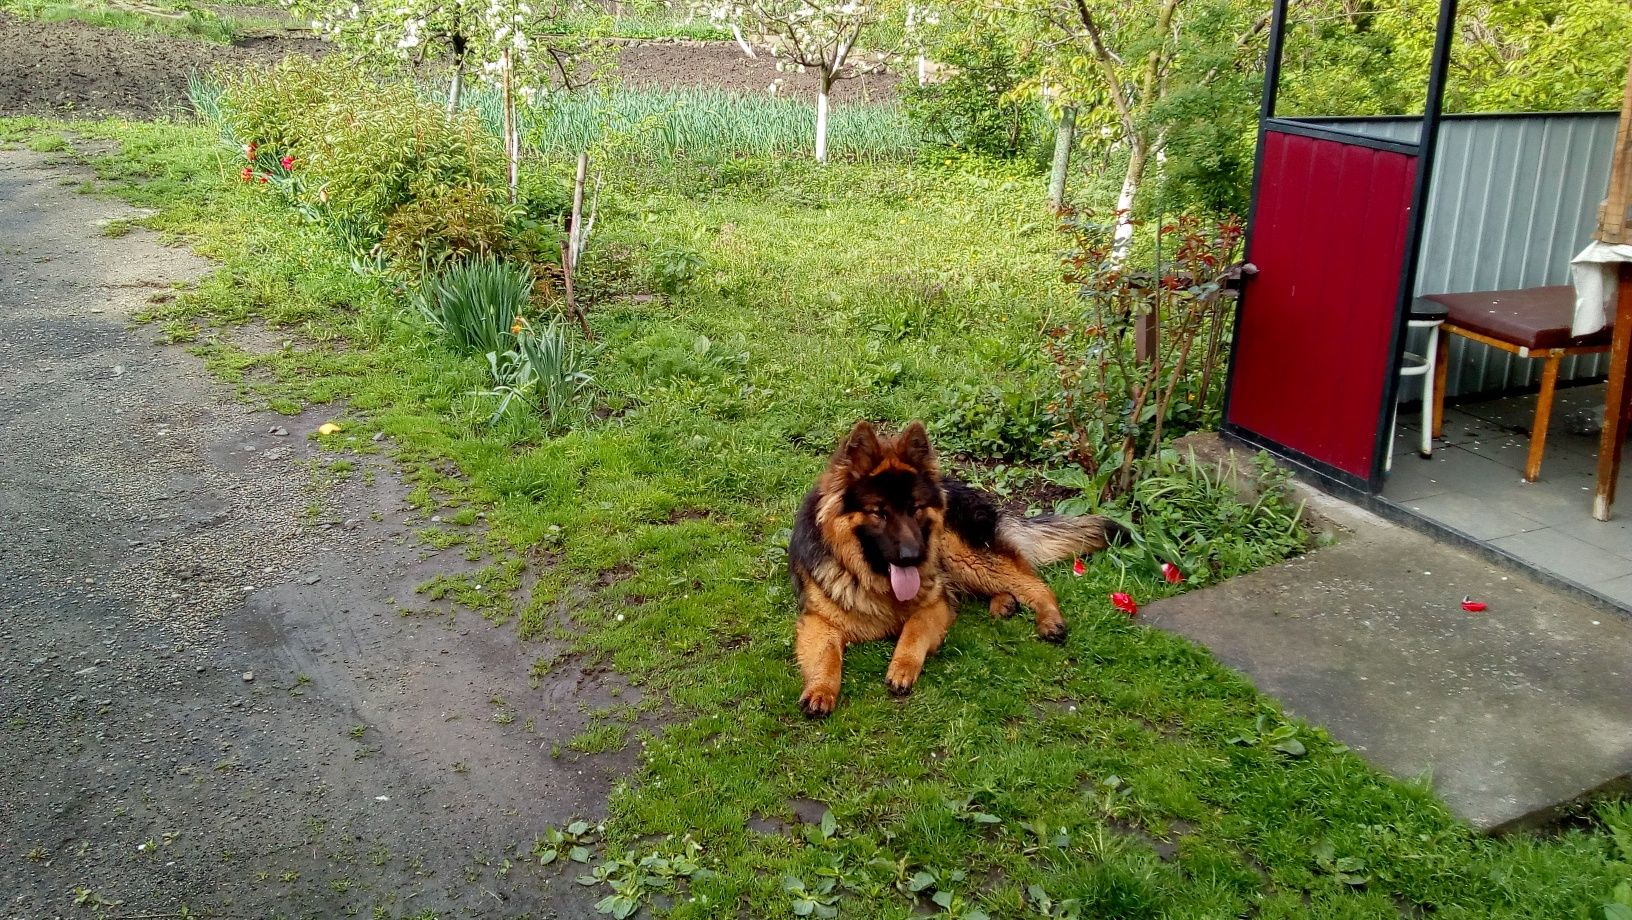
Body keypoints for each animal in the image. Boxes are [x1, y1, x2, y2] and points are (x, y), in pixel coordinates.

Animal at [786, 420, 1116, 714]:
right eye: (879, 513)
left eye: (915, 509)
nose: (913, 556)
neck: (875, 580)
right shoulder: (819, 620)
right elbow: (827, 654)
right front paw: (820, 690)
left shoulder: (936, 604)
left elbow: (915, 628)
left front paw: (902, 667)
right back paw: (1004, 604)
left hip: (957, 551)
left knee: (1032, 581)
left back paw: (1049, 619)